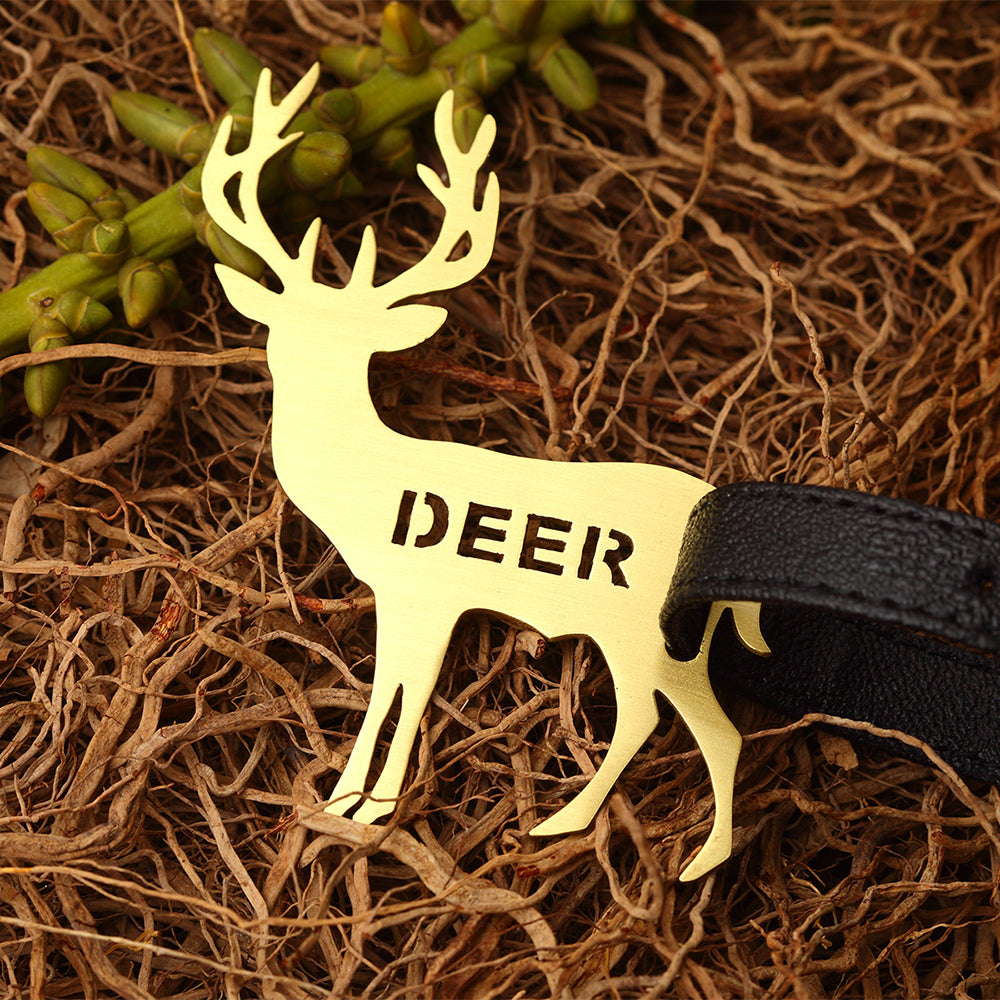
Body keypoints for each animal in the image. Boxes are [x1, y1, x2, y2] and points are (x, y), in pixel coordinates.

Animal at [202, 64, 769, 881]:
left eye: (356, 340)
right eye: (283, 325)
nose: (297, 370)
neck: (373, 482)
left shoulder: (426, 591)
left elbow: (401, 694)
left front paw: (364, 806)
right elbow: (393, 689)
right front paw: (350, 798)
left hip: (645, 632)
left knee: (668, 721)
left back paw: (593, 834)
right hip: (667, 642)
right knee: (694, 724)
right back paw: (659, 848)